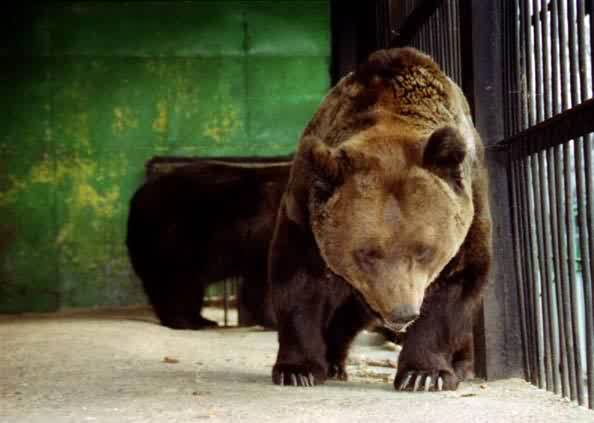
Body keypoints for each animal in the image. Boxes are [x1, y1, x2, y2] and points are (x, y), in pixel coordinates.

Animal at [127, 159, 292, 332]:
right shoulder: (265, 236)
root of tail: (136, 198)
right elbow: (262, 283)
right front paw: (275, 322)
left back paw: (202, 320)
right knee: (174, 283)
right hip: (173, 240)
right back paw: (183, 322)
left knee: (190, 288)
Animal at [268, 47, 490, 390]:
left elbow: (457, 283)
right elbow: (297, 283)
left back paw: (463, 366)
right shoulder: (305, 208)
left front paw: (424, 374)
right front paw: (297, 369)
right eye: (367, 253)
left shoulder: (470, 209)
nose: (403, 313)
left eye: (425, 251)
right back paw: (333, 362)